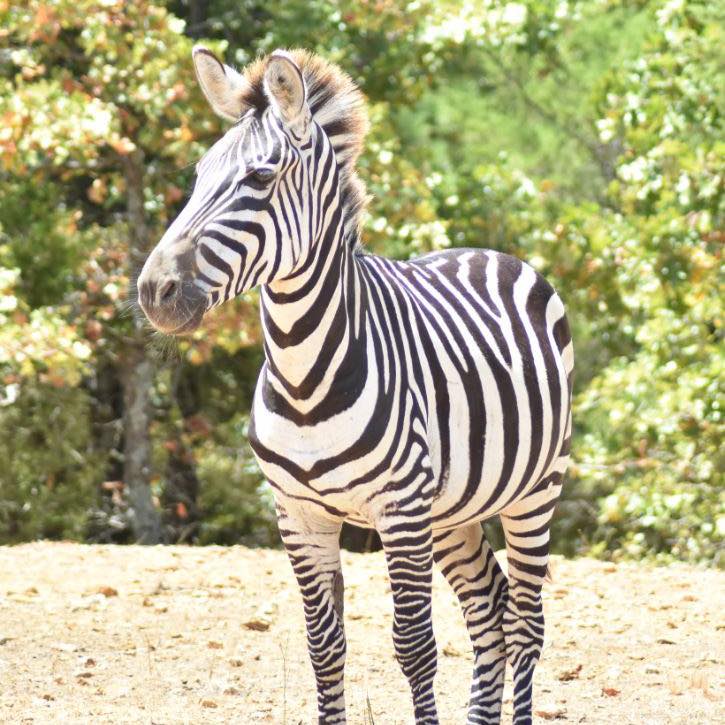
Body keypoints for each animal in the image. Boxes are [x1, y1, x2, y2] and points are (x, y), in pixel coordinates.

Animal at [139, 46, 576, 724]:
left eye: (258, 179)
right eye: (199, 175)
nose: (154, 291)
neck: (303, 378)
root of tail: (490, 252)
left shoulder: (400, 509)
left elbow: (414, 645)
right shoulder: (298, 514)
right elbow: (324, 646)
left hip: (536, 490)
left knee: (526, 622)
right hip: (452, 512)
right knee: (490, 613)